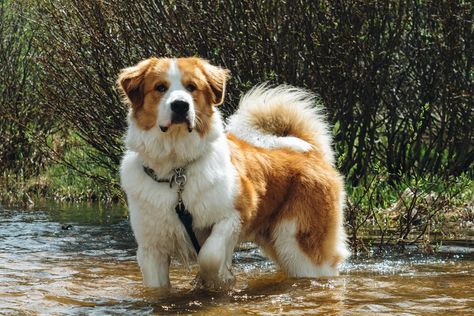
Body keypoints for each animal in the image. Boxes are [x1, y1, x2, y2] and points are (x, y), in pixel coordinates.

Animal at [118, 56, 348, 288]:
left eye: (191, 87)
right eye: (160, 87)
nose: (181, 105)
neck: (177, 171)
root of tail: (313, 153)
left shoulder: (234, 216)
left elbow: (209, 255)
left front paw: (219, 278)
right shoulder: (151, 251)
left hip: (298, 248)